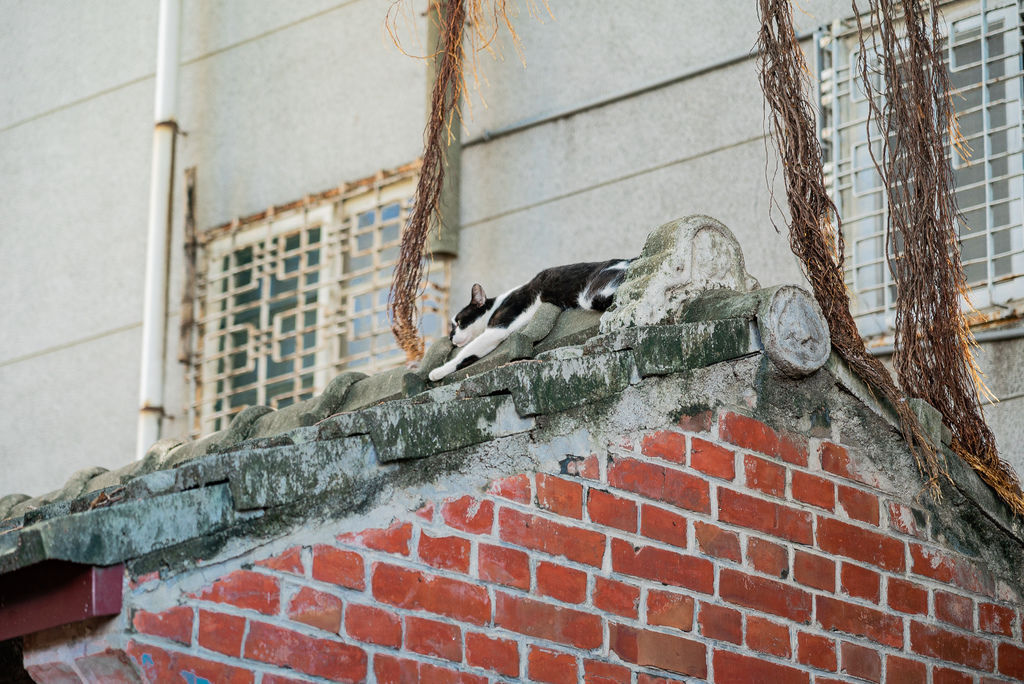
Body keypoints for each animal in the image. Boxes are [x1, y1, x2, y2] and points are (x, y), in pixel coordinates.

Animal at [425, 259, 630, 382]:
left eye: (459, 323)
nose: (451, 337)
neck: (495, 306)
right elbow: (470, 354)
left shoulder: (497, 328)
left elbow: (464, 353)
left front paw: (436, 372)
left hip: (590, 295)